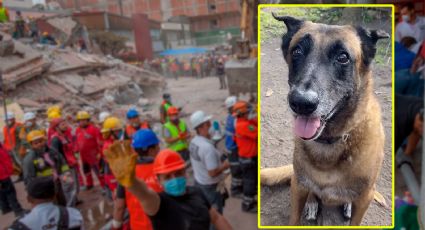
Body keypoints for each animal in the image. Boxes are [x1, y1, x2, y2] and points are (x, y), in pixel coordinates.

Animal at [264, 13, 390, 226]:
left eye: (343, 57)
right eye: (297, 51)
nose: (301, 103)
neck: (328, 142)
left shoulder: (364, 198)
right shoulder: (298, 186)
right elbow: (294, 217)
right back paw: (313, 202)